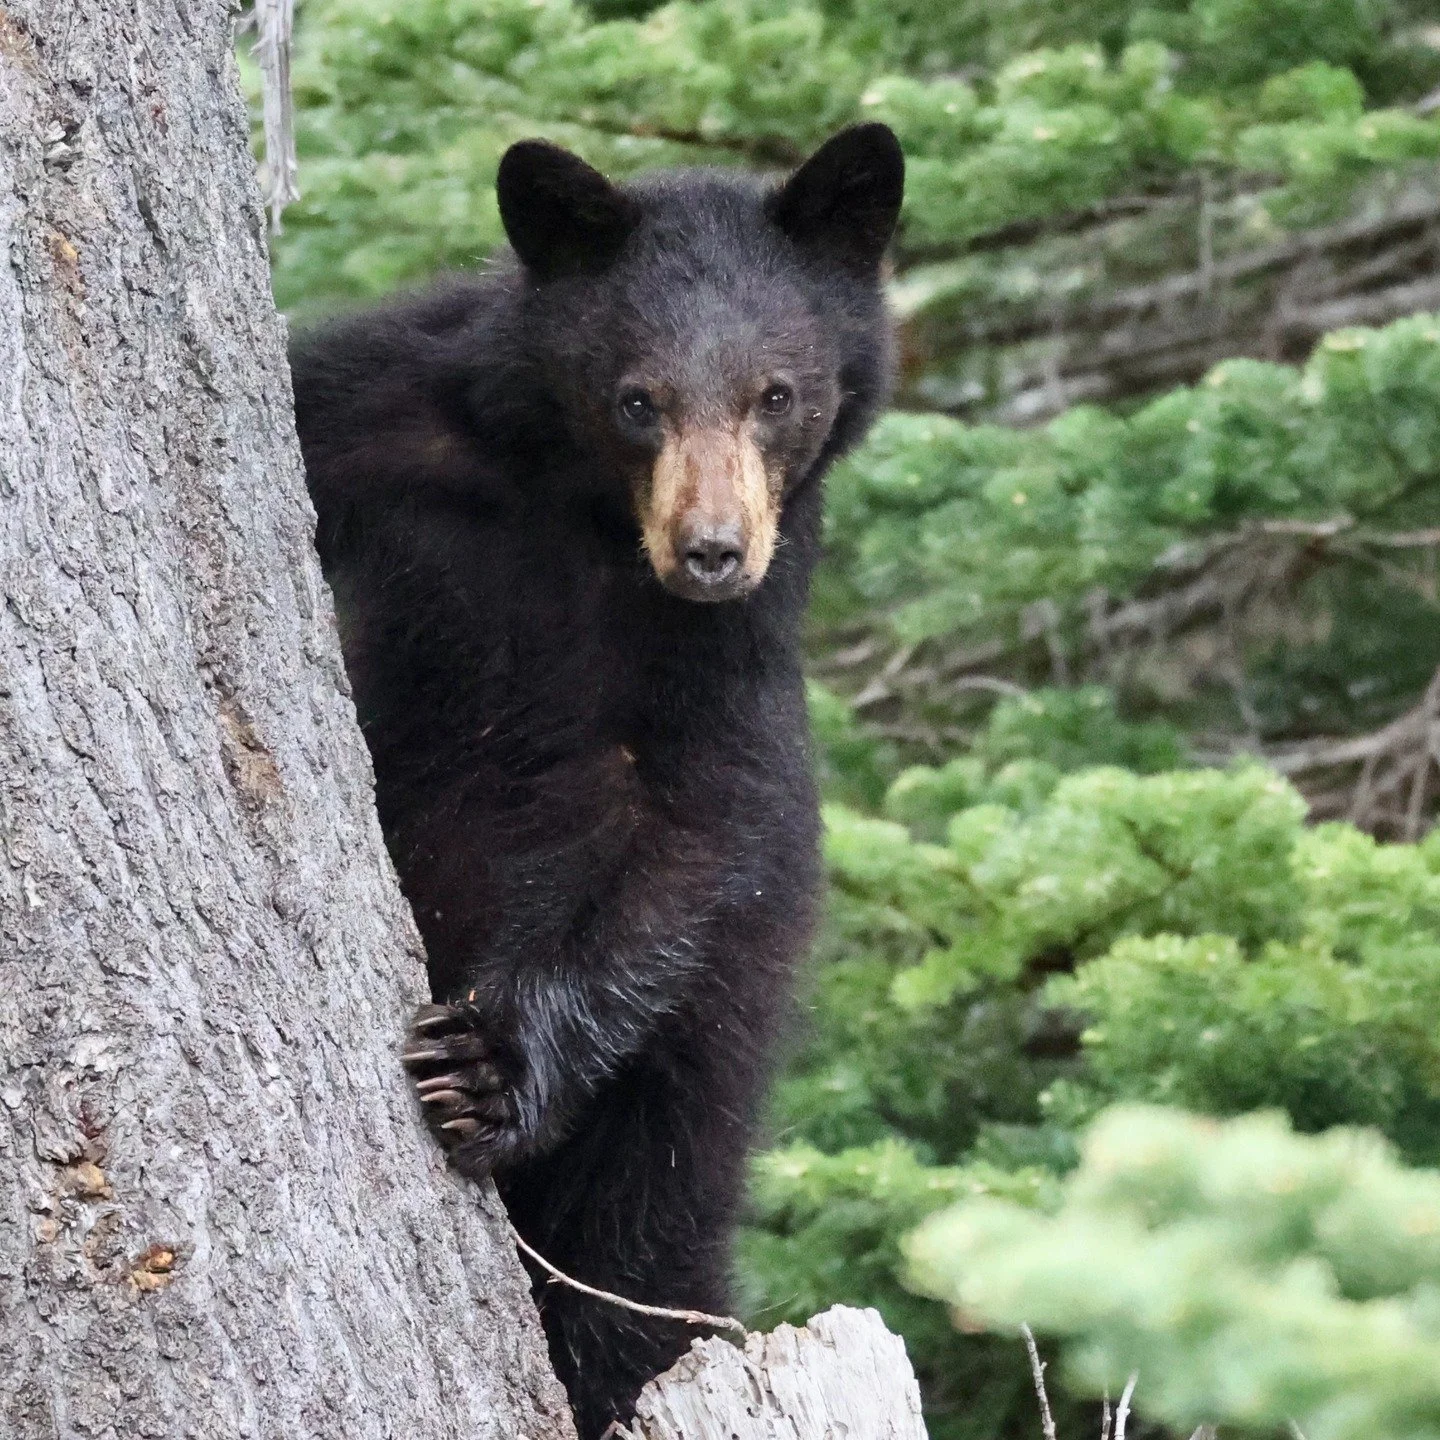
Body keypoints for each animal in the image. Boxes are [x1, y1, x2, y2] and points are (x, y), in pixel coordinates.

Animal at [289, 123, 904, 1438]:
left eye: (778, 394)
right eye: (638, 399)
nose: (711, 550)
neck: (578, 504)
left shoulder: (727, 657)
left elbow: (693, 837)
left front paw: (488, 1069)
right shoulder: (378, 416)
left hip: (686, 1089)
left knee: (638, 1255)